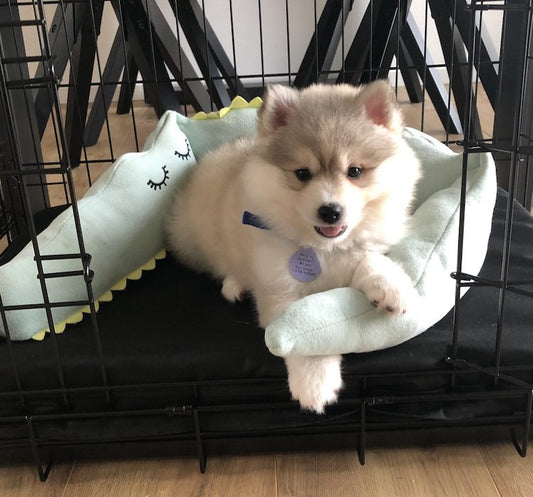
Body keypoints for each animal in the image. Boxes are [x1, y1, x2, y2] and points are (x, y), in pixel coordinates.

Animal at [166, 81, 420, 412]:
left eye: (354, 171)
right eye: (302, 173)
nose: (330, 211)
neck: (324, 248)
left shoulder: (366, 246)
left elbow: (371, 260)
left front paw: (393, 289)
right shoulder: (281, 289)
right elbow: (305, 329)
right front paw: (315, 383)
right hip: (193, 241)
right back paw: (234, 284)